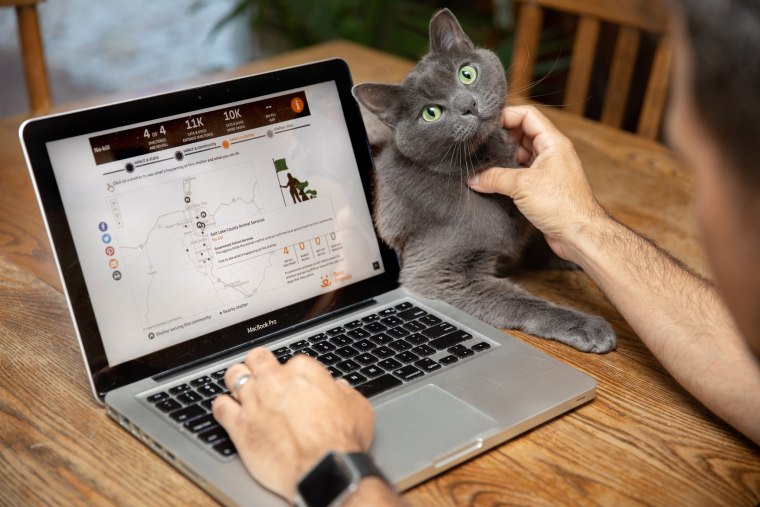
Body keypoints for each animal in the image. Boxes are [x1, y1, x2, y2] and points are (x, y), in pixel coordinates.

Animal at [354, 8, 616, 354]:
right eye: (431, 113)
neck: (488, 158)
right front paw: (586, 326)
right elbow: (523, 302)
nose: (469, 105)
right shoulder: (437, 273)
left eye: (466, 74)